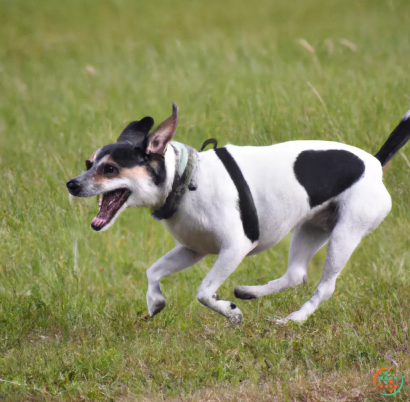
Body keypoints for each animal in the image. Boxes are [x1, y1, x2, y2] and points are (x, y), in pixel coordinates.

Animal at [65, 104, 408, 324]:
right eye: (88, 163)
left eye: (110, 169)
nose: (71, 184)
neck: (185, 180)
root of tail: (375, 163)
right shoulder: (192, 249)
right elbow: (153, 271)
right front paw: (155, 302)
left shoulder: (234, 248)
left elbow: (204, 292)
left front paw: (229, 312)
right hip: (311, 228)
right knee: (296, 274)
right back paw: (250, 292)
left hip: (345, 235)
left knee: (324, 287)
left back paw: (293, 319)